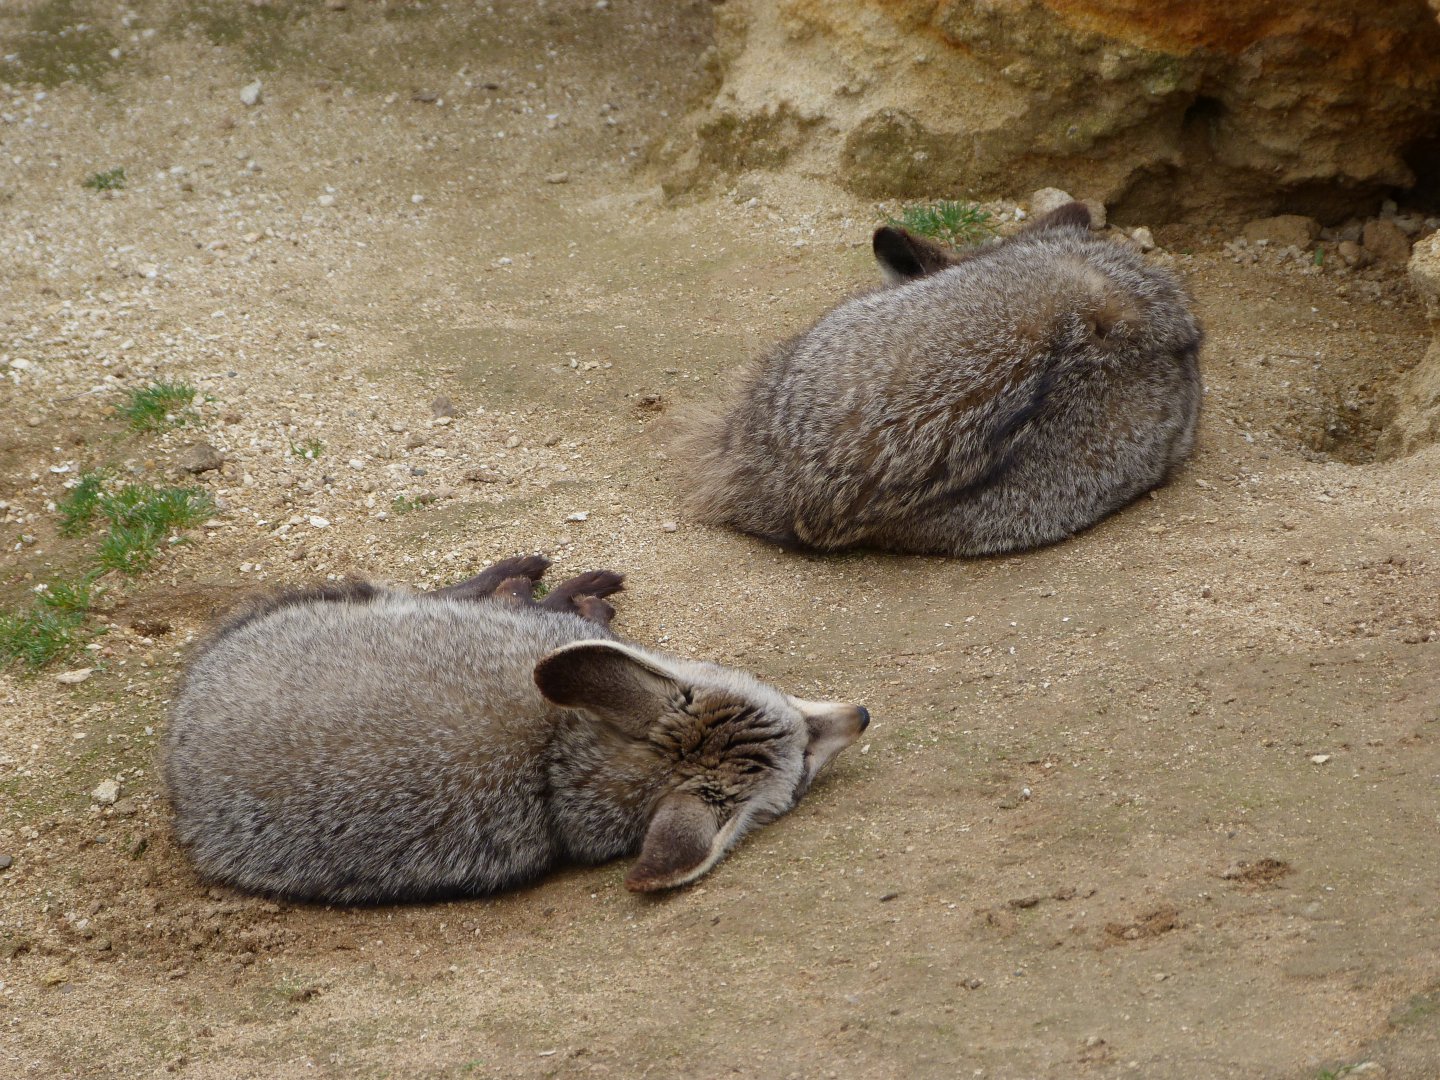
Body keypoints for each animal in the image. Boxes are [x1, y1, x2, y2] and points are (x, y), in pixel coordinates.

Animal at [163, 555, 868, 904]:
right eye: (804, 762)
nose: (861, 716)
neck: (554, 759)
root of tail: (177, 774)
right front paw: (564, 598)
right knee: (447, 594)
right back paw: (522, 579)